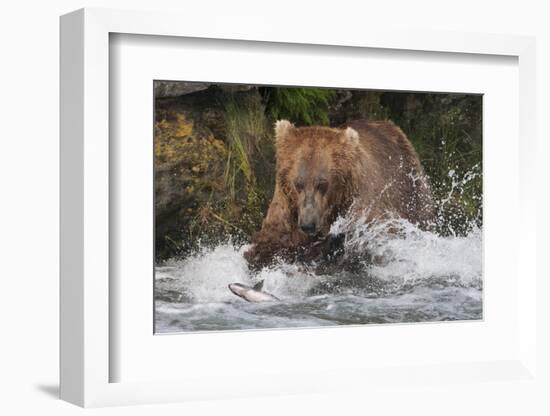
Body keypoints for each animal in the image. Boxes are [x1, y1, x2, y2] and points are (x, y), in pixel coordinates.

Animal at [246, 118, 436, 268]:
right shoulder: (287, 205)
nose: (308, 224)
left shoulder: (363, 203)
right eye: (298, 183)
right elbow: (271, 242)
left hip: (411, 186)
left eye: (322, 184)